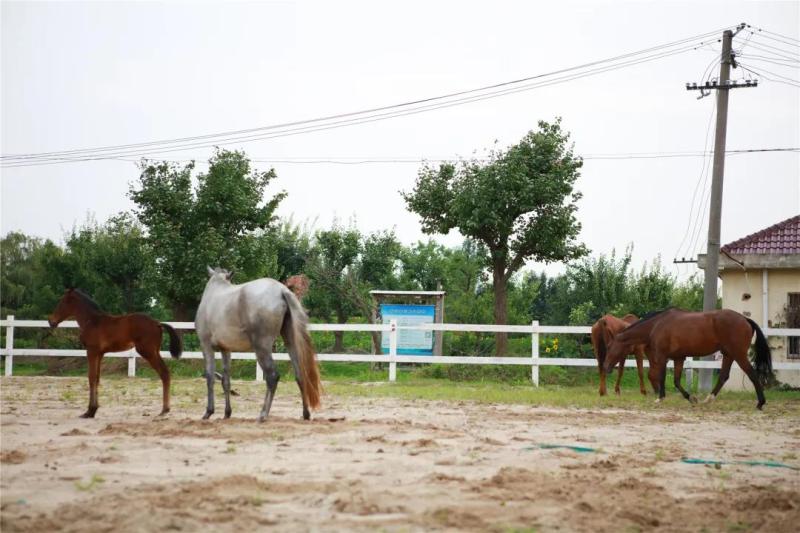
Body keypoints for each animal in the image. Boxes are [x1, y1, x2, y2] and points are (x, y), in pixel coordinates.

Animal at [49, 288, 184, 418]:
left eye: (63, 302)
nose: (51, 321)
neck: (92, 321)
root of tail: (157, 323)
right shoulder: (100, 354)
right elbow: (97, 378)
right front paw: (94, 410)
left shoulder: (91, 351)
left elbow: (91, 378)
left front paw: (89, 411)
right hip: (154, 351)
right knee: (166, 373)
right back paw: (165, 409)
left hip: (147, 351)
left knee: (164, 373)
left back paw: (164, 410)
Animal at [195, 268, 322, 422]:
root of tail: (281, 290)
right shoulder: (226, 350)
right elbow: (226, 380)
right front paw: (227, 413)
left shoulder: (206, 346)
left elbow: (210, 377)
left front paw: (208, 412)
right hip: (291, 343)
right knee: (300, 375)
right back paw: (305, 414)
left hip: (262, 348)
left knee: (272, 376)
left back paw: (263, 414)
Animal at [604, 308, 772, 408]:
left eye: (610, 347)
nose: (605, 367)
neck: (657, 324)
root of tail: (745, 319)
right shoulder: (679, 358)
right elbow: (677, 381)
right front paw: (691, 398)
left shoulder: (662, 357)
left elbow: (662, 377)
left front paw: (660, 398)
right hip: (728, 355)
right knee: (724, 376)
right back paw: (708, 399)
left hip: (738, 354)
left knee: (752, 374)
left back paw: (760, 403)